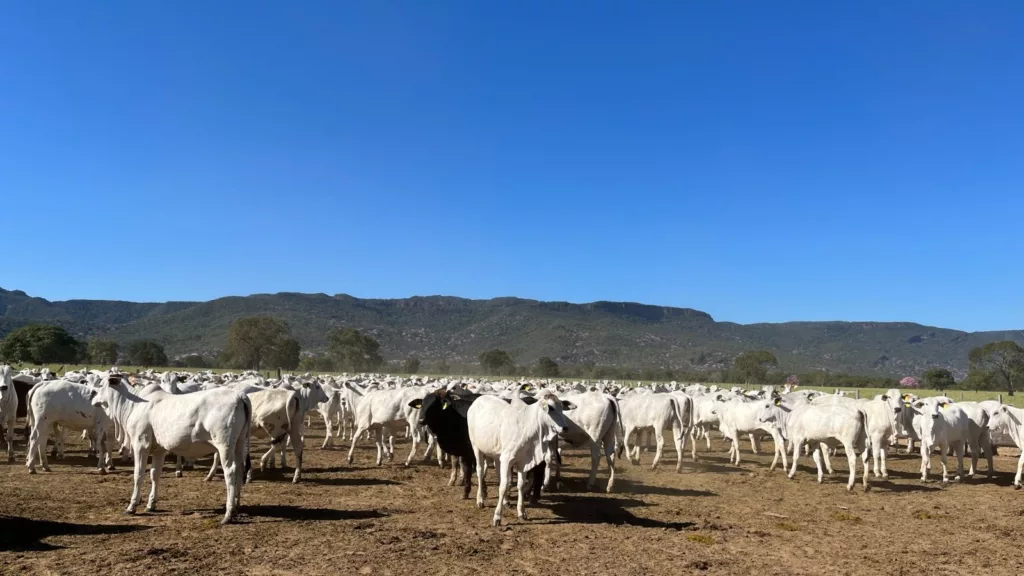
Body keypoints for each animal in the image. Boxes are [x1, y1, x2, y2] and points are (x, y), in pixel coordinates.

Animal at [468, 389, 577, 524]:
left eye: (562, 407)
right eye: (551, 408)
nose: (565, 427)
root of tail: (478, 400)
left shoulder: (523, 461)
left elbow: (520, 484)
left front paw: (521, 512)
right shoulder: (507, 459)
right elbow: (503, 486)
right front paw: (497, 516)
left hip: (497, 455)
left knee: (499, 475)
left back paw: (505, 501)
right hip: (476, 447)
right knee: (480, 472)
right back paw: (480, 500)